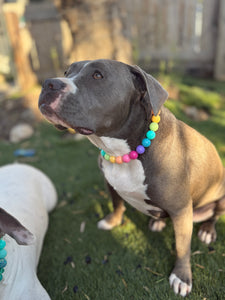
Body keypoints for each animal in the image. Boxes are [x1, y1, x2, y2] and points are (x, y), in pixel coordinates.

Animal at [38, 59, 225, 296]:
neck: (123, 150)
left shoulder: (181, 210)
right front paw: (112, 221)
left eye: (97, 75)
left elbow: (182, 246)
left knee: (214, 215)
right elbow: (117, 204)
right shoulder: (110, 183)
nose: (49, 84)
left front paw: (182, 277)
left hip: (220, 195)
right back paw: (157, 222)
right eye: (66, 72)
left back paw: (208, 231)